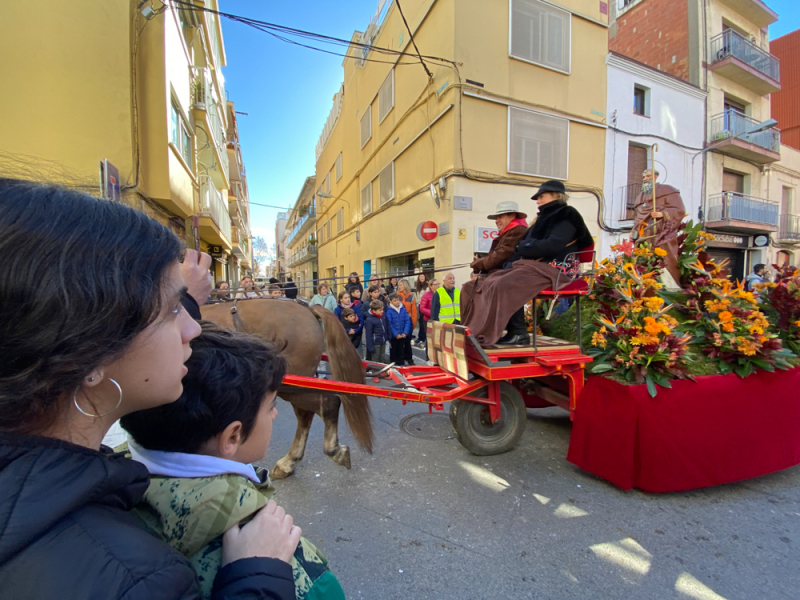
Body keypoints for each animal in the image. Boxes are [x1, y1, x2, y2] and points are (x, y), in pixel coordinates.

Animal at [202, 298, 374, 478]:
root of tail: (307, 308)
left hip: (291, 386)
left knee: (326, 404)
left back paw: (331, 451)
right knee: (307, 413)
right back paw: (289, 462)